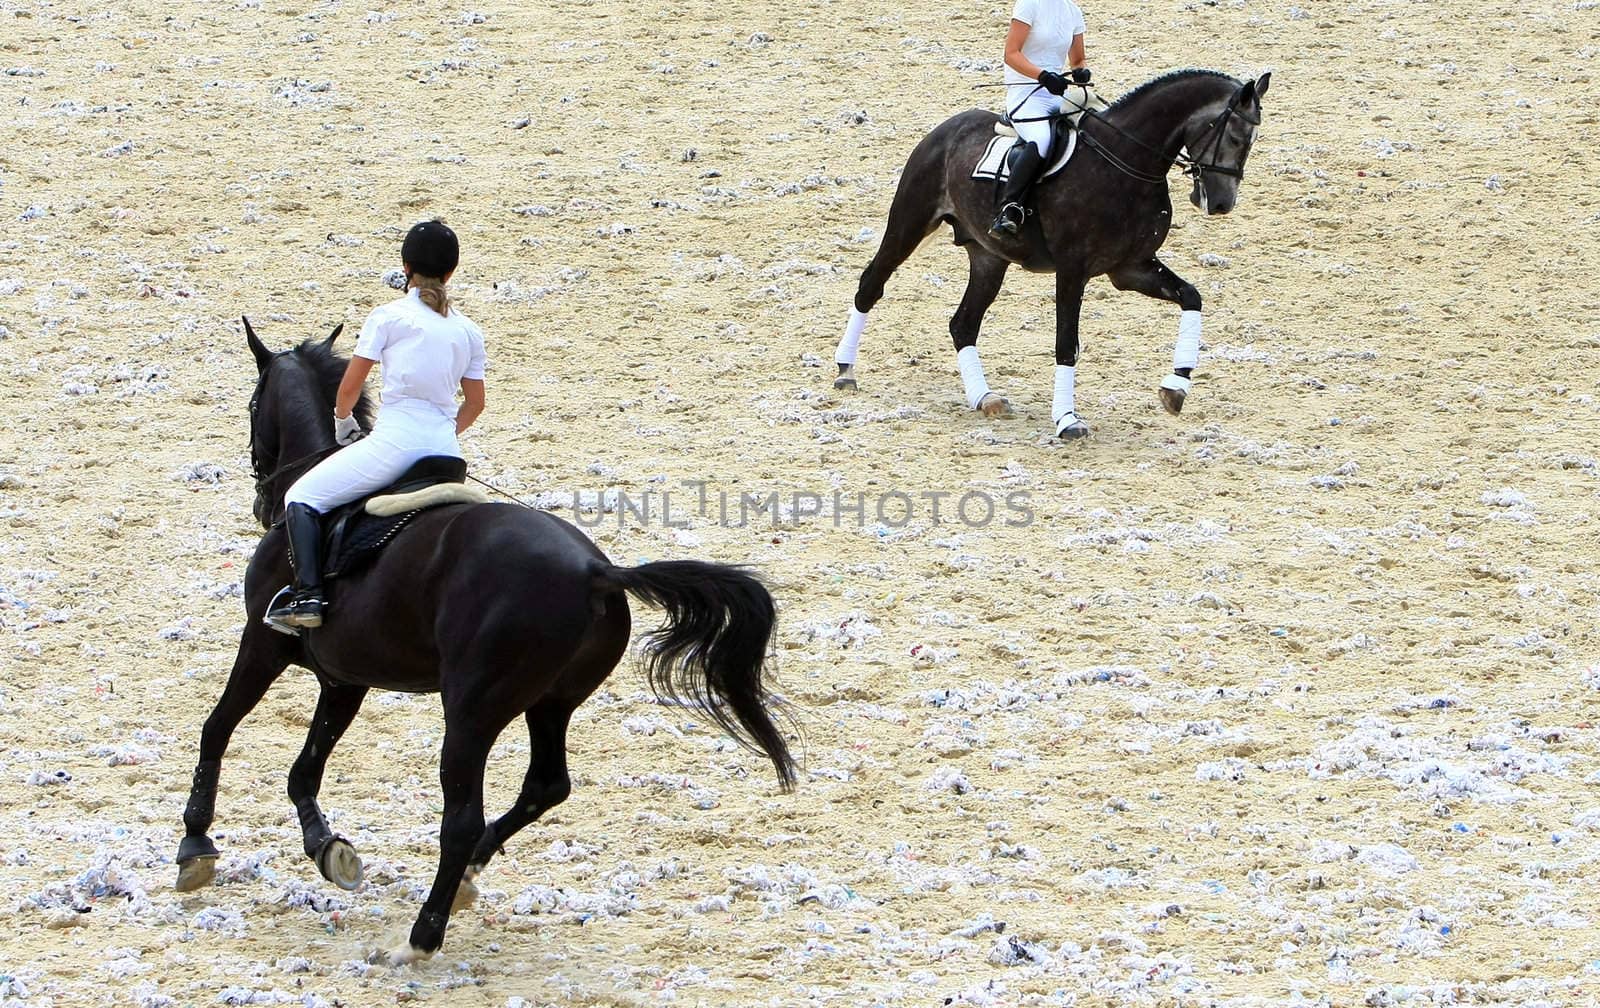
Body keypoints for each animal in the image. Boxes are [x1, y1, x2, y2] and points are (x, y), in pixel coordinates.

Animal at [175, 328, 800, 966]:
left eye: (253, 405)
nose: (261, 503)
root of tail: (595, 570)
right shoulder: (345, 678)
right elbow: (304, 770)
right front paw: (329, 849)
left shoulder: (264, 643)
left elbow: (217, 728)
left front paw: (196, 844)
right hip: (550, 703)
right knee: (545, 786)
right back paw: (469, 875)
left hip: (472, 711)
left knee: (461, 819)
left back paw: (420, 937)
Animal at [838, 67, 1273, 438]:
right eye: (1235, 137)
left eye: (1252, 143)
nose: (1221, 203)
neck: (1127, 164)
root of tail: (947, 129)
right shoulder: (1072, 269)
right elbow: (1067, 344)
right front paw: (1067, 419)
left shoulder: (1131, 268)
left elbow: (1191, 297)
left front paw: (1176, 388)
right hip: (909, 223)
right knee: (871, 285)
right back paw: (845, 371)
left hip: (989, 257)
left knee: (963, 324)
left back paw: (985, 397)